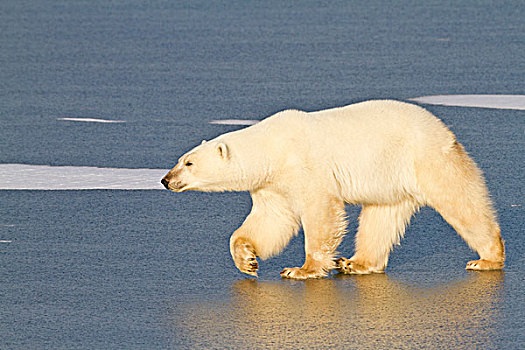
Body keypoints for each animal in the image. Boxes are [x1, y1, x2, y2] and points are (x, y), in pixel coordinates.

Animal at [161, 100, 504, 278]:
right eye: (180, 159)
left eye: (189, 163)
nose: (165, 179)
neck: (271, 148)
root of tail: (444, 130)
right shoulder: (272, 184)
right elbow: (271, 221)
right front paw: (247, 260)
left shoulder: (305, 166)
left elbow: (320, 212)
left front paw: (301, 269)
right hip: (390, 180)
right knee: (380, 219)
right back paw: (356, 263)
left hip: (426, 159)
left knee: (461, 202)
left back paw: (487, 258)